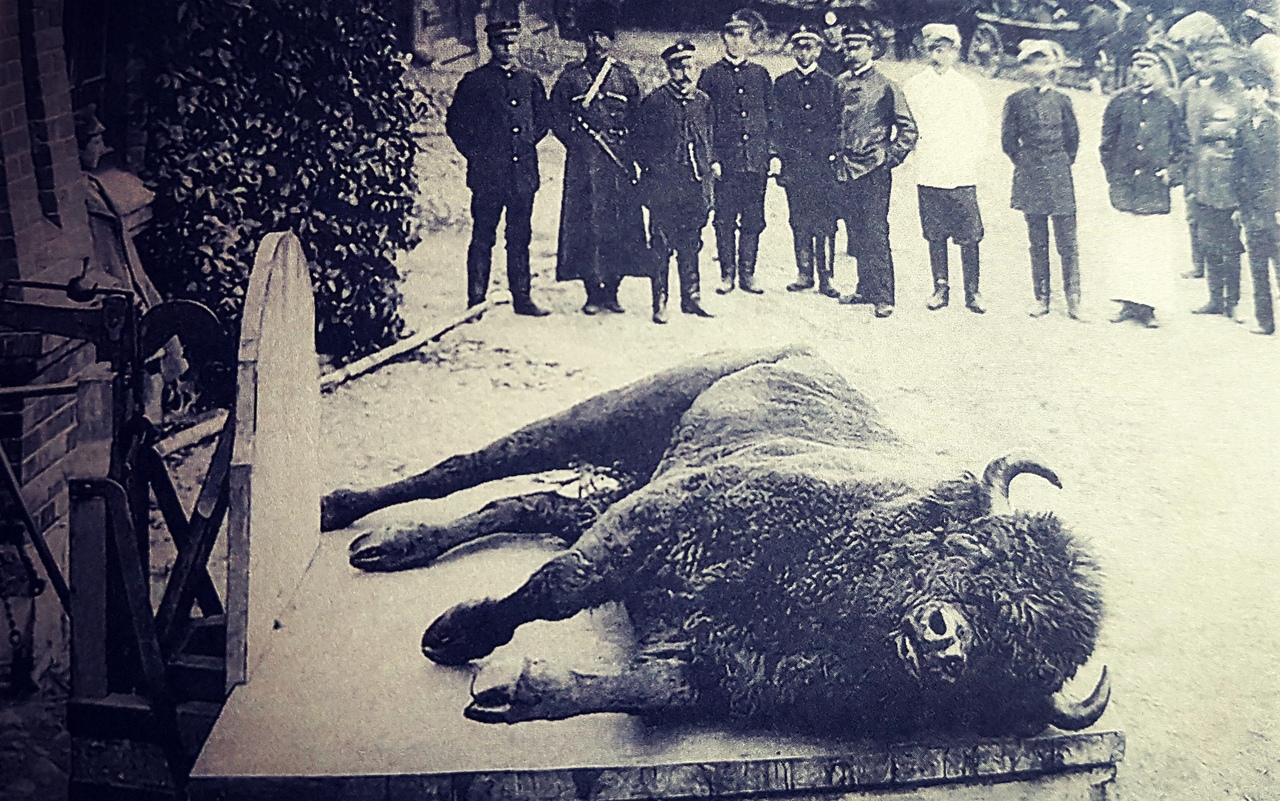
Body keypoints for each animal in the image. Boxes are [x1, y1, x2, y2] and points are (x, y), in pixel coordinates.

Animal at [322, 345, 1111, 731]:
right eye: (974, 553)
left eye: (1017, 651)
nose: (943, 638)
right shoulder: (656, 519)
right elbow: (555, 588)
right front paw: (456, 636)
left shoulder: (701, 661)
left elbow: (635, 689)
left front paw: (514, 693)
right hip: (614, 413)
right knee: (480, 463)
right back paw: (353, 517)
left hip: (606, 485)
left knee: (526, 502)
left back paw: (392, 543)